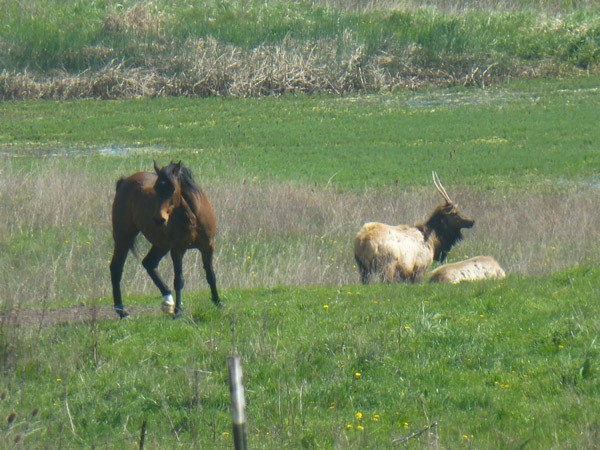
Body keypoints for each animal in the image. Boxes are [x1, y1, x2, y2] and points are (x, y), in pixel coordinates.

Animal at [109, 160, 220, 318]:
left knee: (149, 263)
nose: (159, 219)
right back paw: (122, 311)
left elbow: (210, 275)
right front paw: (178, 312)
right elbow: (179, 280)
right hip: (123, 237)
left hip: (161, 244)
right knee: (116, 268)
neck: (192, 217)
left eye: (172, 188)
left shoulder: (208, 246)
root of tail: (124, 182)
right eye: (156, 188)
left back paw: (167, 300)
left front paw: (218, 303)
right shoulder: (177, 249)